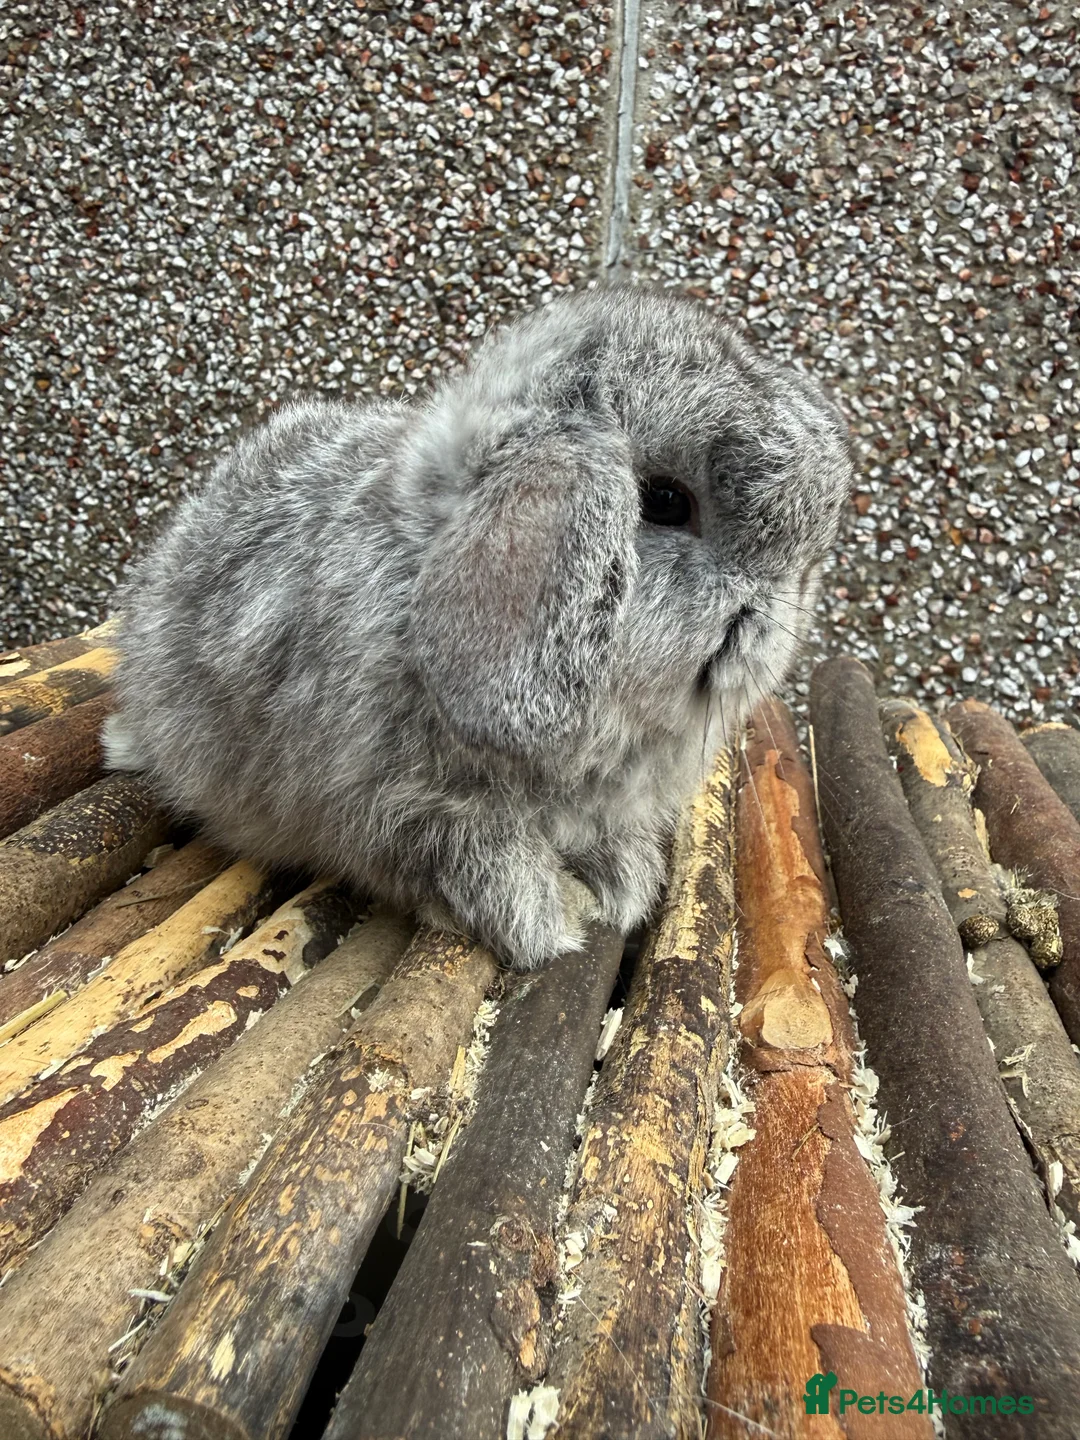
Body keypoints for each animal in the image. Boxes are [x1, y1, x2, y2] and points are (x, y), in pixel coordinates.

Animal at [104, 286, 852, 970]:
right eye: (668, 502)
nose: (782, 620)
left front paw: (622, 884)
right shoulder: (401, 809)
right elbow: (465, 856)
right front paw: (546, 918)